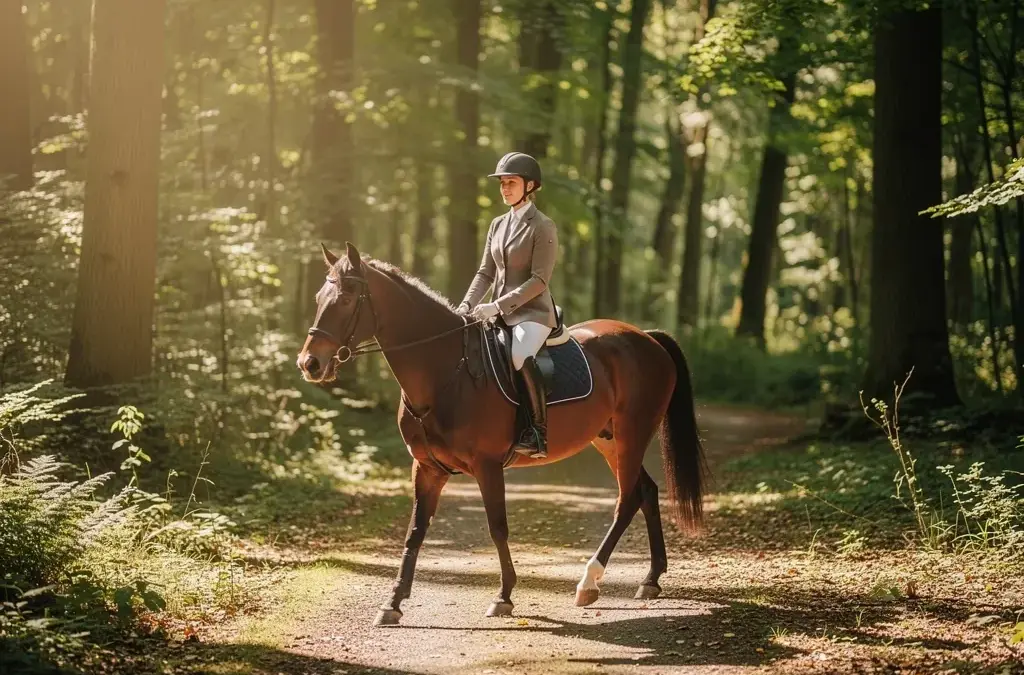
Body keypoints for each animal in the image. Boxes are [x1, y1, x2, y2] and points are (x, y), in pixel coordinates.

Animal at [297, 242, 705, 626]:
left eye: (347, 298)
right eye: (317, 299)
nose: (309, 363)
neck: (445, 372)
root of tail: (645, 337)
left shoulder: (488, 465)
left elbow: (497, 528)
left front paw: (504, 597)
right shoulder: (426, 468)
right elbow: (415, 531)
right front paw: (393, 604)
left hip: (634, 432)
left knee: (627, 499)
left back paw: (589, 582)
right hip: (610, 441)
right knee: (646, 491)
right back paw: (650, 579)